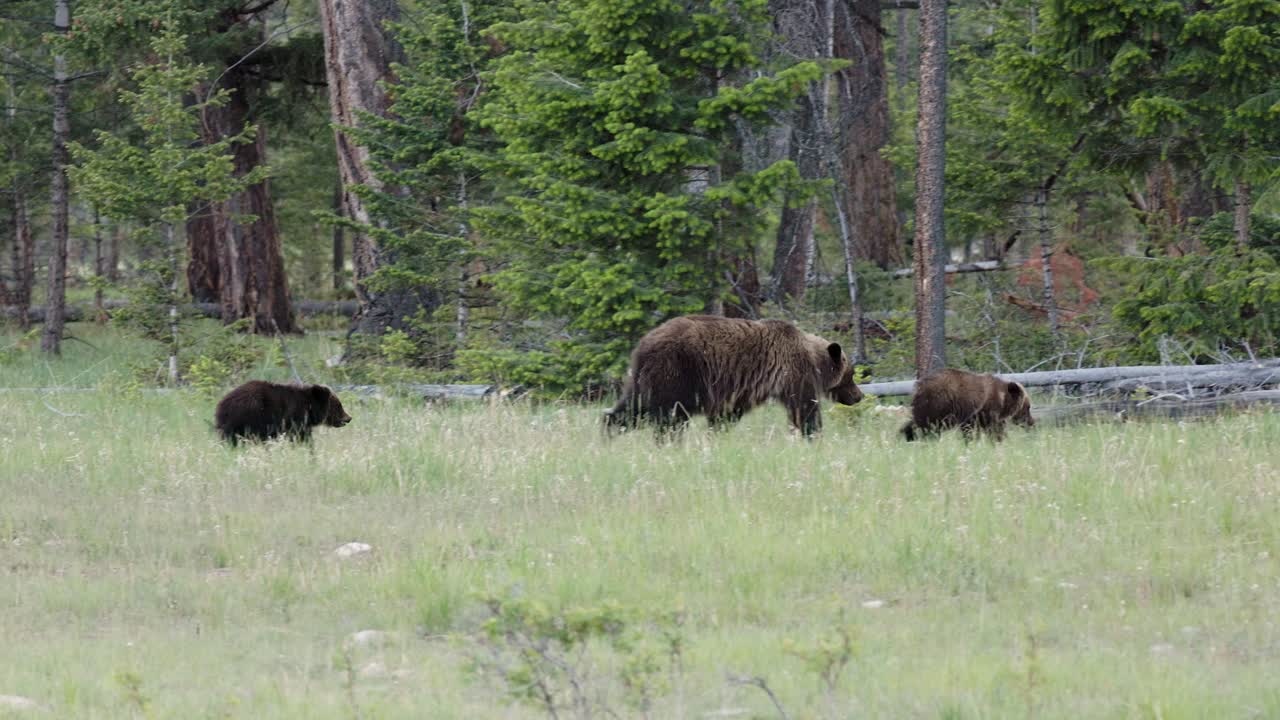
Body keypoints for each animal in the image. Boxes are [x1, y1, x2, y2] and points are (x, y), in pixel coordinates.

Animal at [214, 381, 351, 445]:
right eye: (339, 405)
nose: (348, 418)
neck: (309, 408)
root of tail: (221, 405)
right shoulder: (294, 419)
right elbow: (300, 436)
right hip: (248, 419)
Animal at [603, 315, 864, 437]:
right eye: (850, 375)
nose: (859, 396)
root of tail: (644, 344)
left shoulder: (741, 389)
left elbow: (725, 415)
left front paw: (716, 433)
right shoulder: (794, 375)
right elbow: (805, 410)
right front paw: (813, 435)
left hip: (644, 379)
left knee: (632, 408)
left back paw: (609, 433)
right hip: (678, 372)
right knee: (670, 416)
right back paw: (668, 440)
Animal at [900, 368, 1034, 442]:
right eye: (1028, 407)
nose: (1031, 422)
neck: (1002, 400)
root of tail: (919, 385)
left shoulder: (981, 416)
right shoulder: (981, 412)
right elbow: (991, 430)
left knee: (916, 423)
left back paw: (906, 435)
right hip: (938, 404)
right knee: (927, 426)